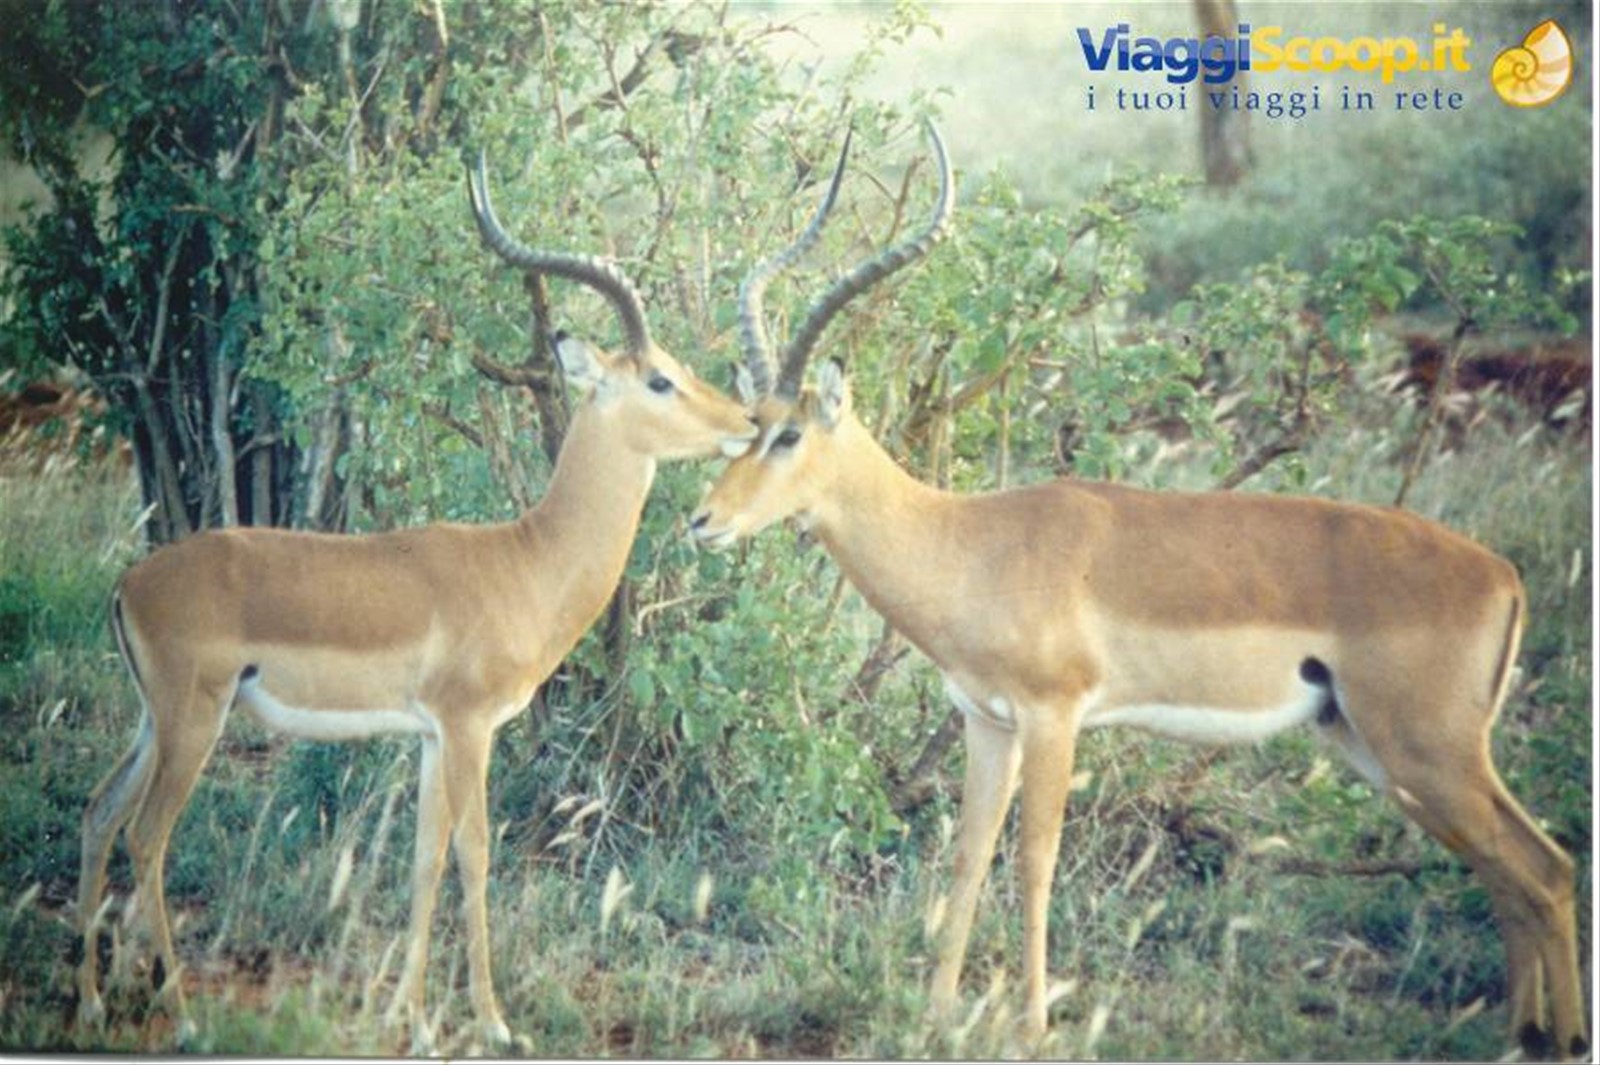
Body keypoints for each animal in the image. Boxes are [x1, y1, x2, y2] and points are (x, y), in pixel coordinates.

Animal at [74, 154, 758, 1052]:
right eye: (659, 378)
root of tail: (129, 582)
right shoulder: (469, 727)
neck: (526, 560)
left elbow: (425, 857)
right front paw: (493, 1022)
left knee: (99, 812)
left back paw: (90, 1001)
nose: (747, 419)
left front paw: (413, 1017)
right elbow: (474, 854)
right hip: (195, 719)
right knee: (147, 835)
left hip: (153, 721)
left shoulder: (433, 735)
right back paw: (183, 1013)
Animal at [690, 122, 1587, 1058]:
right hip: (1389, 754)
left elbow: (1033, 859)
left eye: (790, 433)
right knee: (1509, 870)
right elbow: (968, 854)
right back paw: (1519, 1033)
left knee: (1548, 869)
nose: (701, 521)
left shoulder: (1053, 717)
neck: (972, 543)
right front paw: (937, 1014)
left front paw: (1034, 1022)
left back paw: (1556, 1035)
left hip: (1429, 751)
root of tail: (1502, 574)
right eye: (748, 423)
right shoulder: (987, 722)